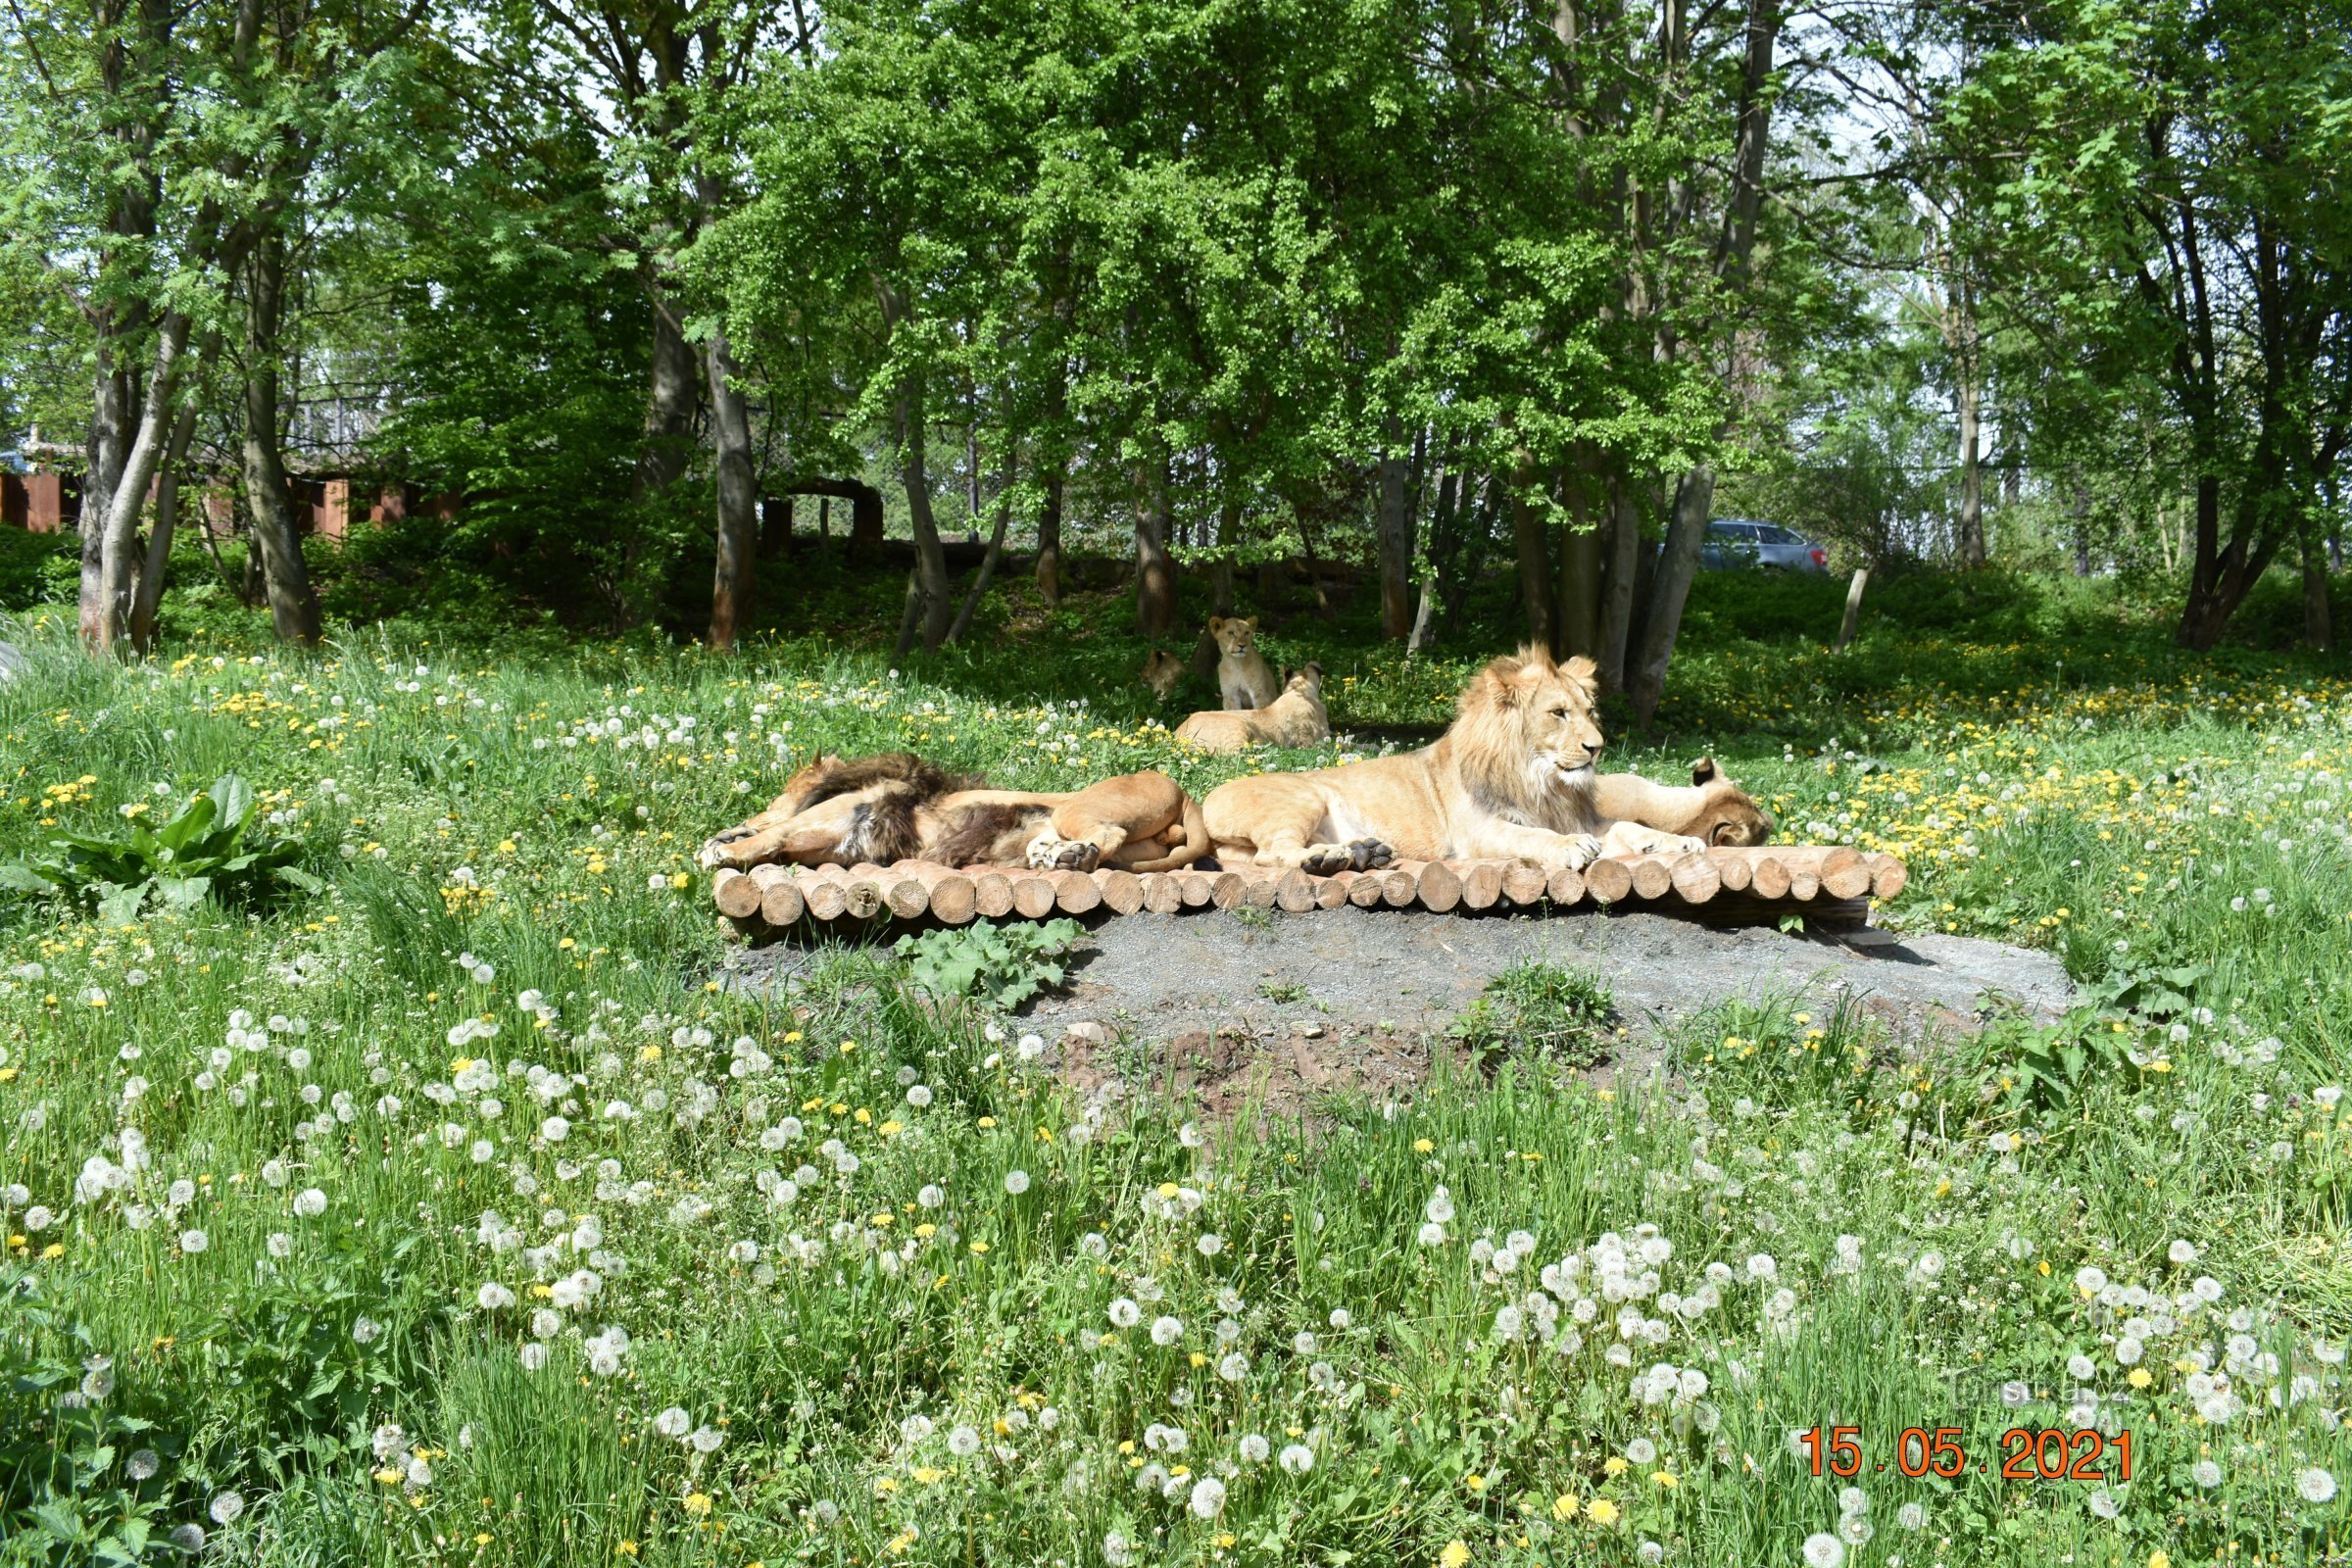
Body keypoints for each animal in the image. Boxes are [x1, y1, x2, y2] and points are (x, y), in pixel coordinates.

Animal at [1213, 644, 1712, 879]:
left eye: (1590, 712)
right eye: (1558, 713)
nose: (1597, 747)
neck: (1541, 780)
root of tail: (1210, 800)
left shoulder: (1580, 816)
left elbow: (1628, 825)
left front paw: (1679, 842)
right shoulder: (1478, 833)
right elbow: (1531, 836)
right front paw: (1570, 847)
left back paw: (1363, 853)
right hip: (1302, 798)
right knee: (1273, 853)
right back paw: (1329, 857)